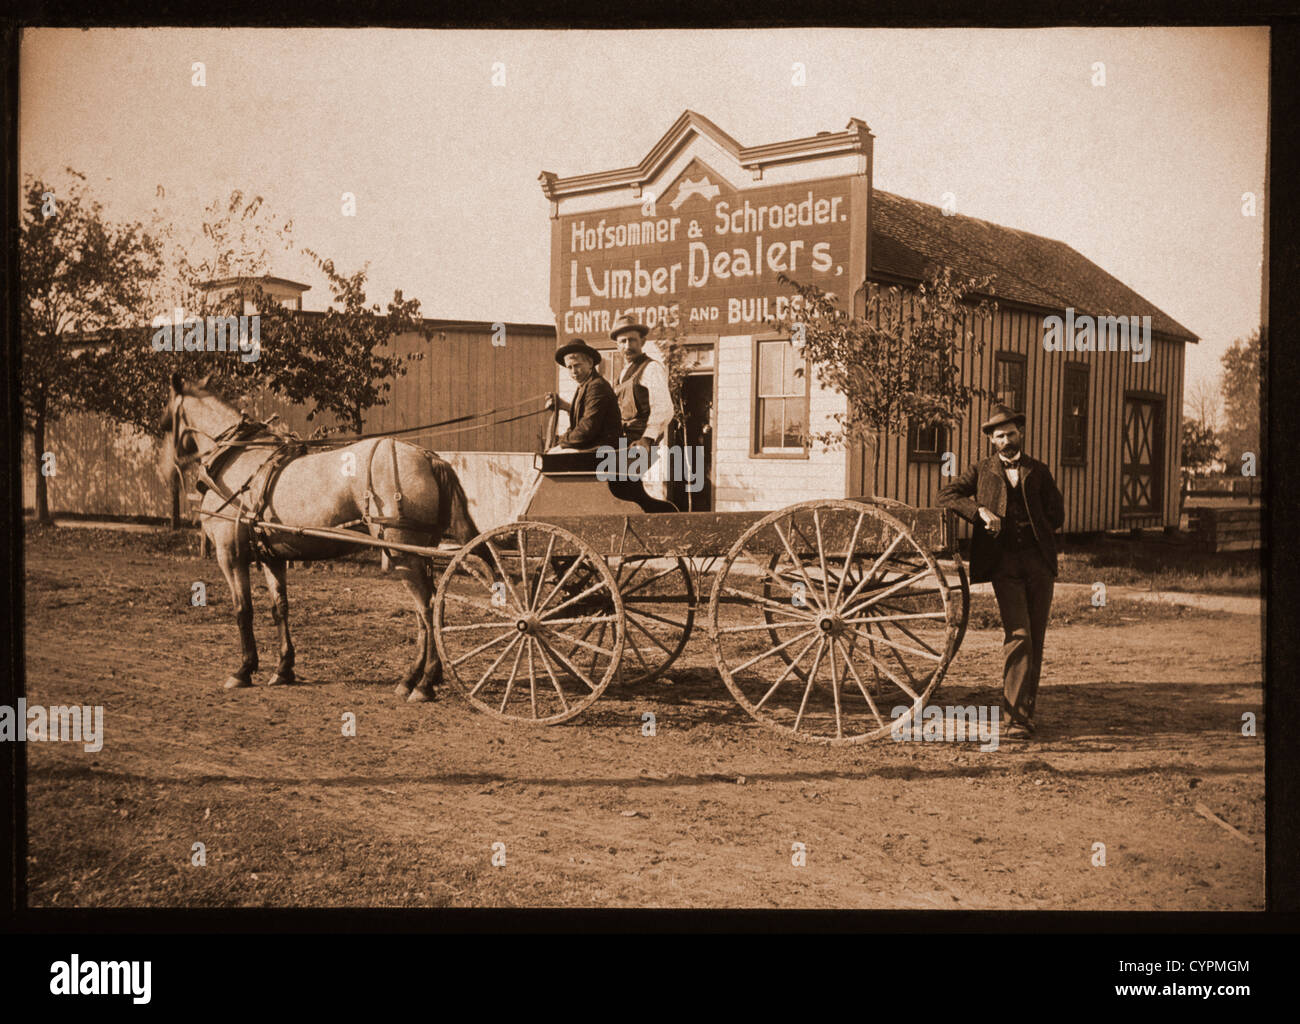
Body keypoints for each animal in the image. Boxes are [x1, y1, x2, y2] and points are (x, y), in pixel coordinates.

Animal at [157, 376, 483, 701]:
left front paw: (244, 670)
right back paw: (412, 678)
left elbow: (243, 610)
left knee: (429, 610)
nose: (166, 474)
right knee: (425, 614)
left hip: (404, 554)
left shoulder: (230, 554)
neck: (238, 460)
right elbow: (279, 608)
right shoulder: (272, 557)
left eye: (164, 423)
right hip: (415, 553)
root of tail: (427, 457)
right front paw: (283, 669)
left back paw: (425, 683)